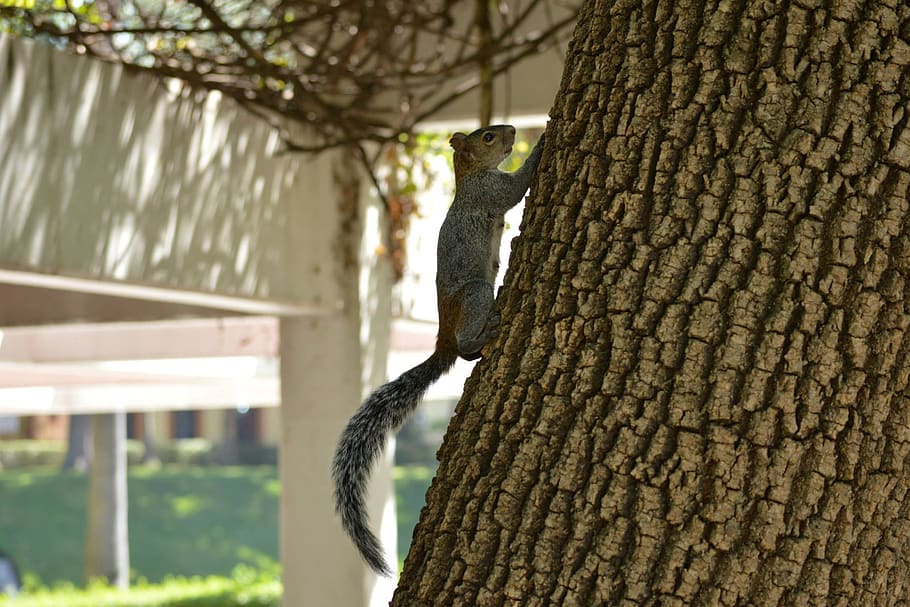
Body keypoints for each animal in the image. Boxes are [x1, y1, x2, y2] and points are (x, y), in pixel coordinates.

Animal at [332, 124, 546, 576]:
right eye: (487, 137)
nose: (512, 131)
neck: (468, 178)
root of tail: (443, 338)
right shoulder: (489, 192)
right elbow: (516, 187)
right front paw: (544, 139)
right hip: (476, 295)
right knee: (464, 349)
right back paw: (482, 336)